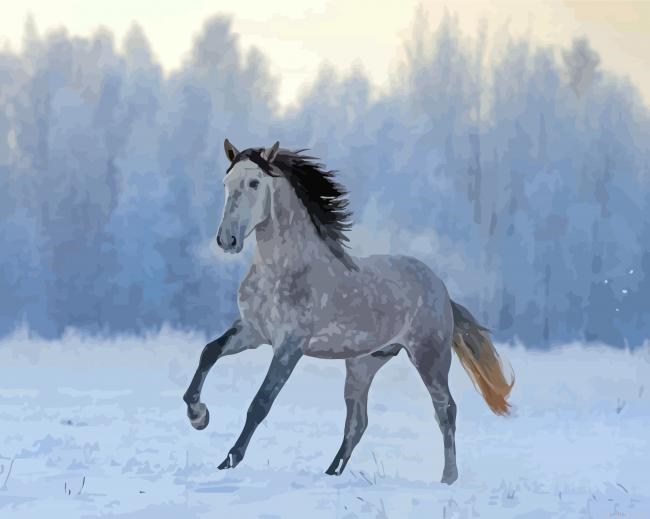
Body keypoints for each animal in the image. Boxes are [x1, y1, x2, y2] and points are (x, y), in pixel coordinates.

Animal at [182, 139, 514, 485]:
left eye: (254, 183)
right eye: (226, 183)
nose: (227, 239)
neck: (283, 270)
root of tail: (441, 288)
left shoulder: (290, 346)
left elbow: (260, 403)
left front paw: (228, 460)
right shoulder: (252, 332)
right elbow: (209, 352)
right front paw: (199, 416)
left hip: (429, 357)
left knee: (445, 410)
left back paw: (448, 479)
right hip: (363, 364)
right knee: (358, 422)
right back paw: (331, 473)